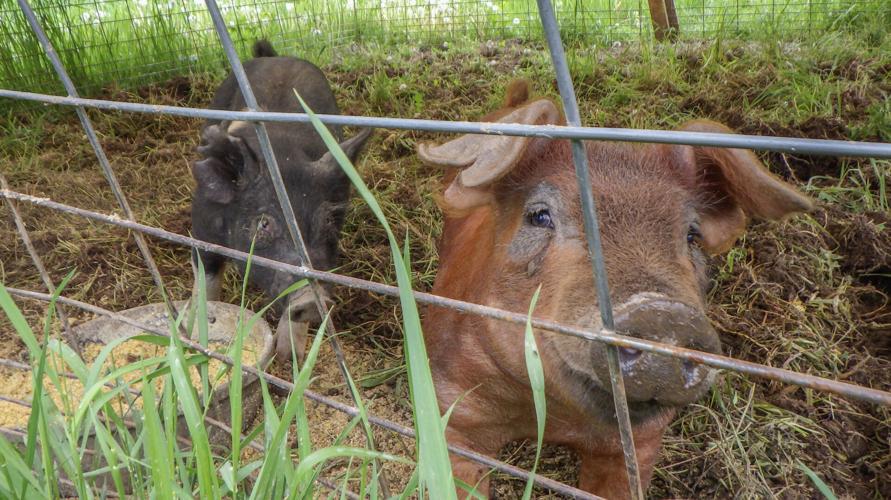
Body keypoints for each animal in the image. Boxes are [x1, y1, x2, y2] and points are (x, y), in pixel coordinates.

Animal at [190, 40, 370, 361]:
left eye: (327, 222)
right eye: (263, 223)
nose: (311, 299)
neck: (282, 153)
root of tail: (277, 56)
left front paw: (290, 357)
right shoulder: (202, 228)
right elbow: (206, 282)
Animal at [417, 80, 813, 498]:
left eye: (692, 235)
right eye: (539, 216)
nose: (661, 313)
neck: (551, 416)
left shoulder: (640, 441)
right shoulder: (451, 406)